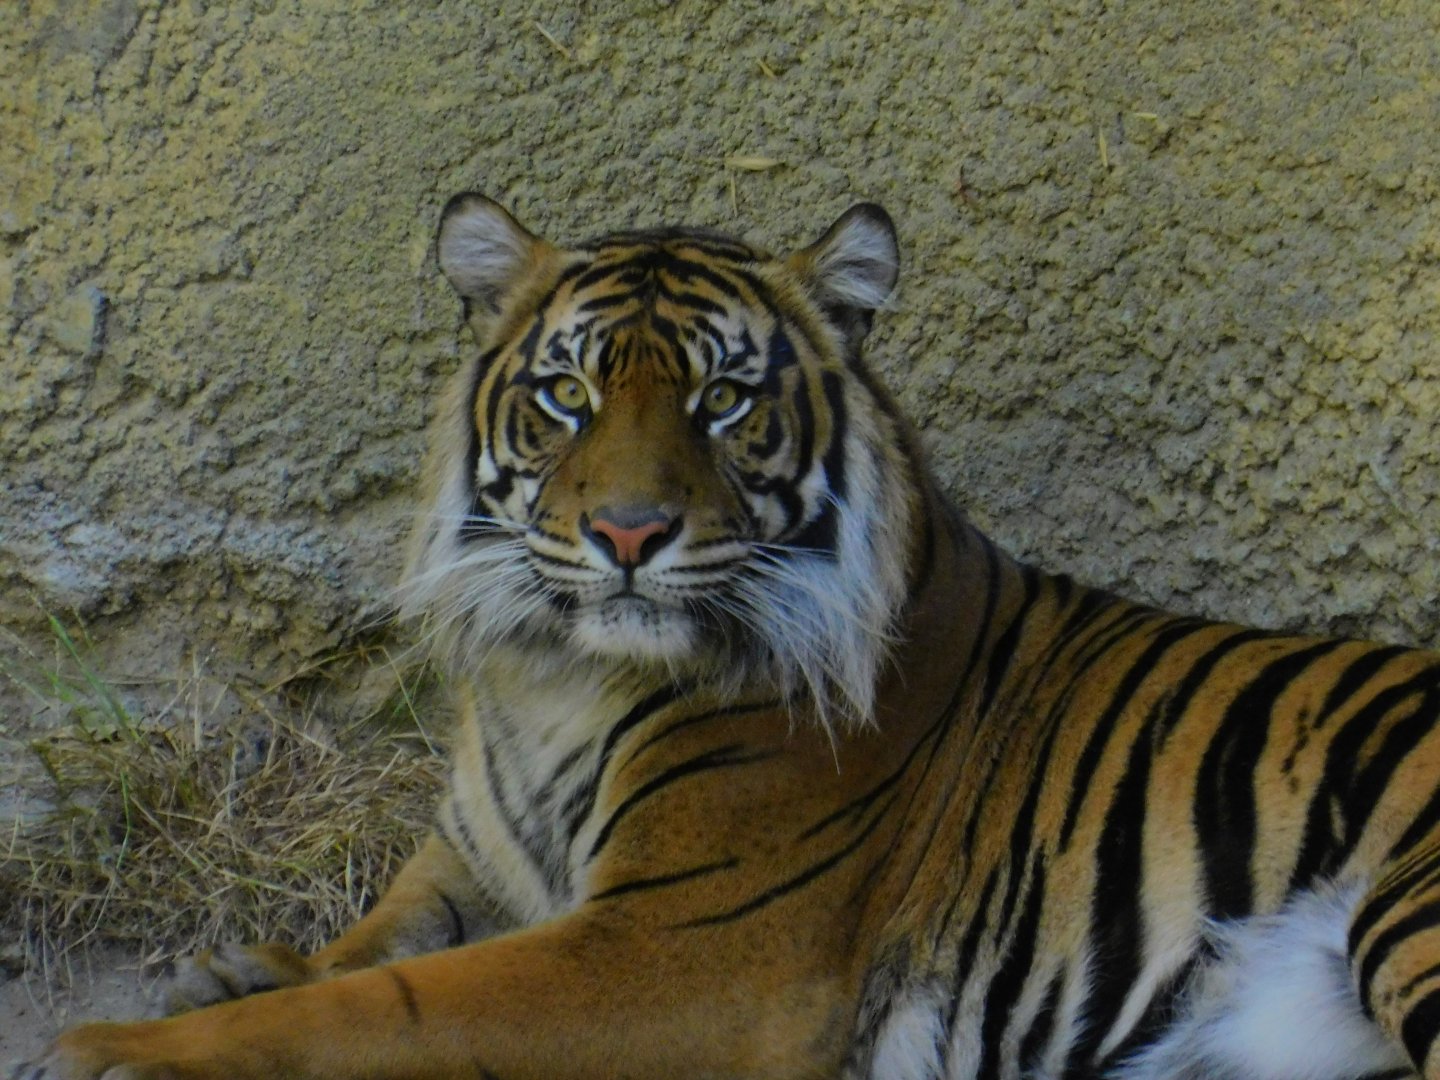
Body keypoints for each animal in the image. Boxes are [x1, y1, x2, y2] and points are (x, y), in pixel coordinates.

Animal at [15, 194, 1440, 1080]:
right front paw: (232, 972)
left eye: (722, 400)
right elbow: (368, 945)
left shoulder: (680, 951)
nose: (629, 533)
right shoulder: (472, 865)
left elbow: (385, 1008)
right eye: (567, 394)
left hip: (1404, 918)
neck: (556, 677)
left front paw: (117, 1050)